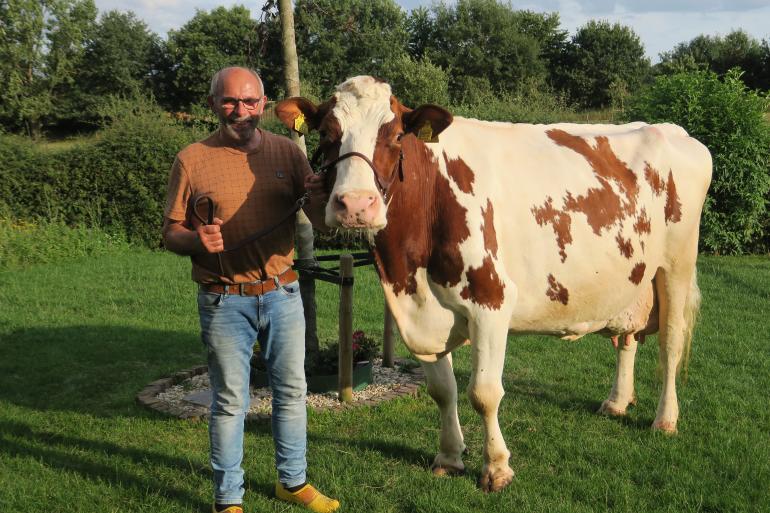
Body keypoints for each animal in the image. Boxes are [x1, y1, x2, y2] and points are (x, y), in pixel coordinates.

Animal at [274, 77, 708, 492]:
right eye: (327, 133)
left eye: (396, 135)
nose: (356, 205)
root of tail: (672, 130)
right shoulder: (421, 311)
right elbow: (443, 390)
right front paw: (449, 458)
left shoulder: (492, 302)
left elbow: (483, 393)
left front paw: (497, 468)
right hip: (632, 279)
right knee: (627, 338)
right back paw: (617, 401)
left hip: (676, 266)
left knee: (670, 343)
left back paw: (665, 419)